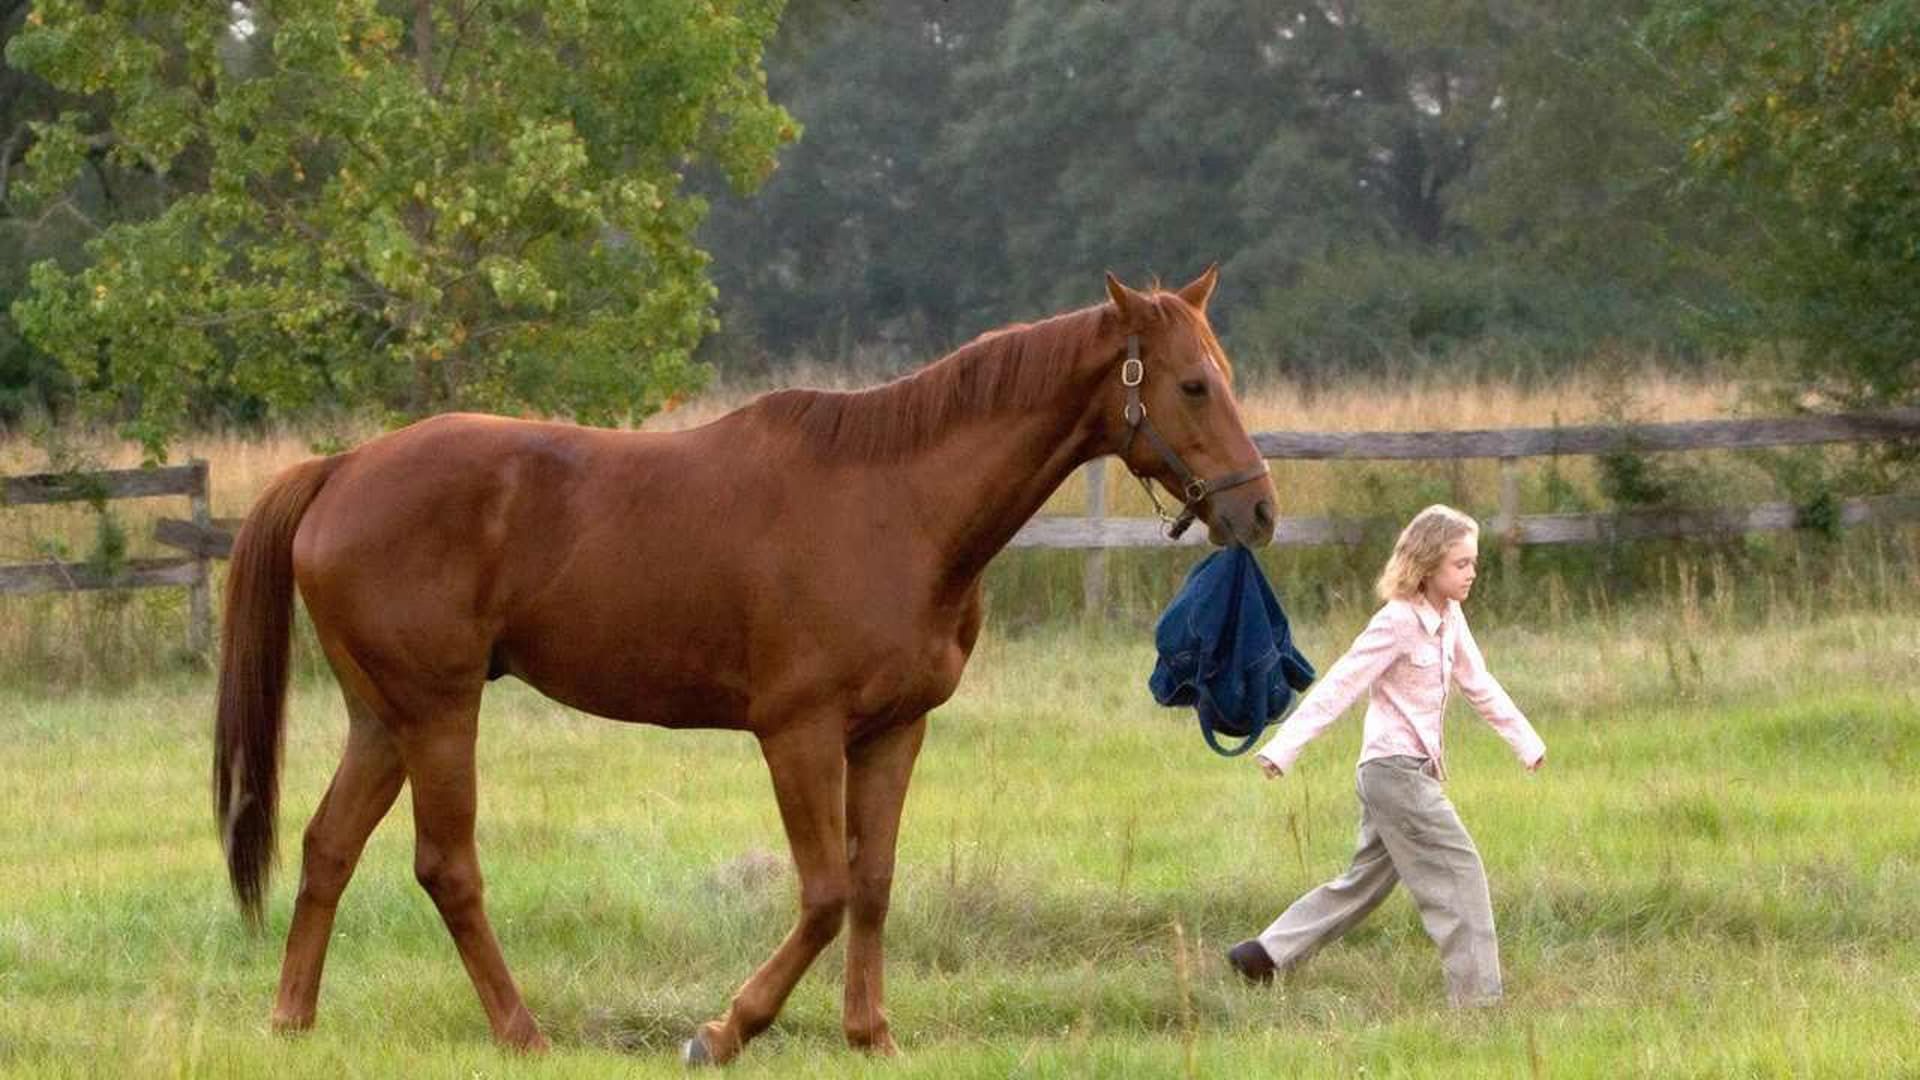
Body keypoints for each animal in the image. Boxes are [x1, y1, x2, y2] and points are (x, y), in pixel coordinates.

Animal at [214, 267, 1274, 1060]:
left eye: (1227, 372)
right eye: (1192, 384)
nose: (1258, 510)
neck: (898, 503)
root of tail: (342, 469)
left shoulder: (894, 732)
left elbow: (874, 883)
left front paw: (870, 1034)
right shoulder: (797, 734)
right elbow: (826, 892)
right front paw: (726, 1030)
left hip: (383, 717)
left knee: (327, 847)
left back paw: (292, 1019)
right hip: (439, 712)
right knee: (448, 868)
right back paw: (521, 1033)